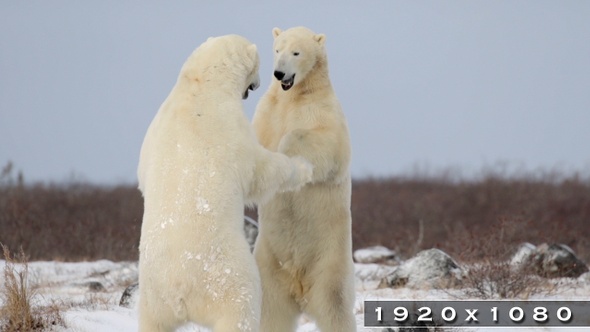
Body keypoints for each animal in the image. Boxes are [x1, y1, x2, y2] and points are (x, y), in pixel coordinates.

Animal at [138, 34, 314, 332]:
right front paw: (303, 167)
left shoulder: (153, 132)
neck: (200, 82)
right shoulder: (231, 126)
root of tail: (181, 293)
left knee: (152, 322)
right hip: (228, 278)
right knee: (240, 309)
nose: (260, 81)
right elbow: (260, 171)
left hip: (152, 295)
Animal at [253, 26, 358, 332]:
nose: (278, 73)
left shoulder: (324, 111)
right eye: (277, 49)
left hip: (330, 262)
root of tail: (299, 287)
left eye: (296, 52)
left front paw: (288, 153)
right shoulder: (268, 111)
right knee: (270, 312)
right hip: (268, 264)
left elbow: (324, 142)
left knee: (335, 306)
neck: (294, 95)